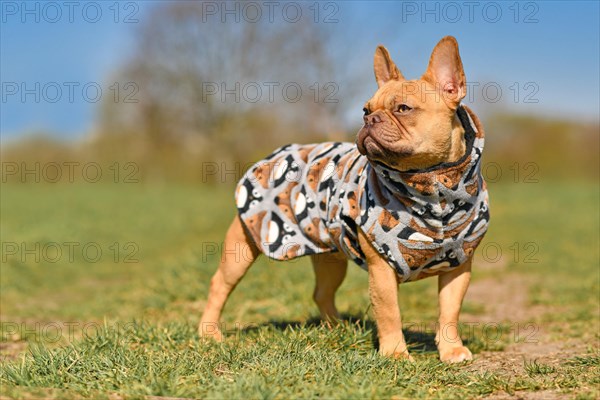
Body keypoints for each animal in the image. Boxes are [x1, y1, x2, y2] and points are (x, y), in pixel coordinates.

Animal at [199, 36, 490, 362]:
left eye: (403, 108)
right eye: (365, 110)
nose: (370, 119)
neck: (434, 188)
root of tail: (273, 155)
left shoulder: (458, 266)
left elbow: (449, 311)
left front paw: (451, 350)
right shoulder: (382, 269)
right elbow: (390, 312)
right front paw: (396, 354)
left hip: (331, 255)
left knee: (322, 292)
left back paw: (337, 329)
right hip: (242, 246)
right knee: (219, 285)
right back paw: (209, 334)